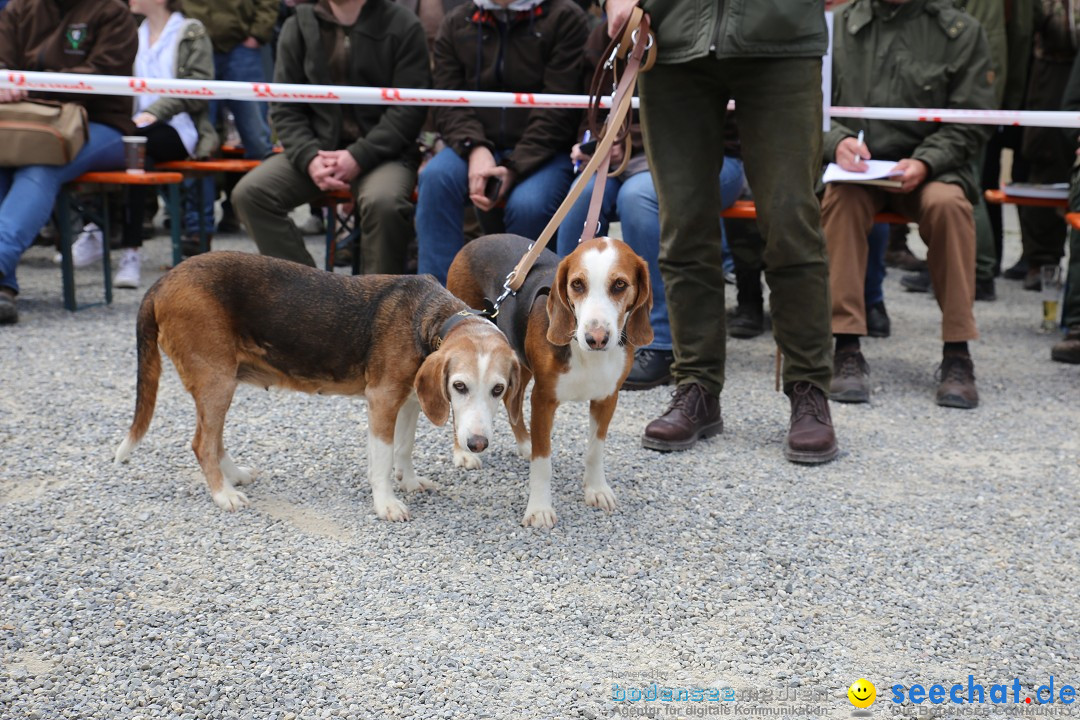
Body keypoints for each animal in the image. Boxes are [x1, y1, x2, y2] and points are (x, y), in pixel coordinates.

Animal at [116, 252, 520, 518]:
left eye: (498, 390)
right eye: (460, 386)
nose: (477, 444)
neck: (431, 315)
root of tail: (163, 281)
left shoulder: (409, 399)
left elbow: (404, 449)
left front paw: (408, 481)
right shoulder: (383, 399)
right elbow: (383, 459)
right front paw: (386, 502)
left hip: (221, 384)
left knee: (213, 441)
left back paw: (234, 477)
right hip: (216, 381)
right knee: (202, 443)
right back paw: (223, 495)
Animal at [444, 234, 652, 526]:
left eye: (620, 284)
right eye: (577, 284)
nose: (596, 339)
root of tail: (479, 239)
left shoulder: (607, 398)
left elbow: (595, 450)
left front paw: (596, 489)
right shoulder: (543, 400)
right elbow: (542, 462)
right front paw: (539, 508)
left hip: (517, 359)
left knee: (512, 404)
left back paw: (524, 443)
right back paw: (463, 452)